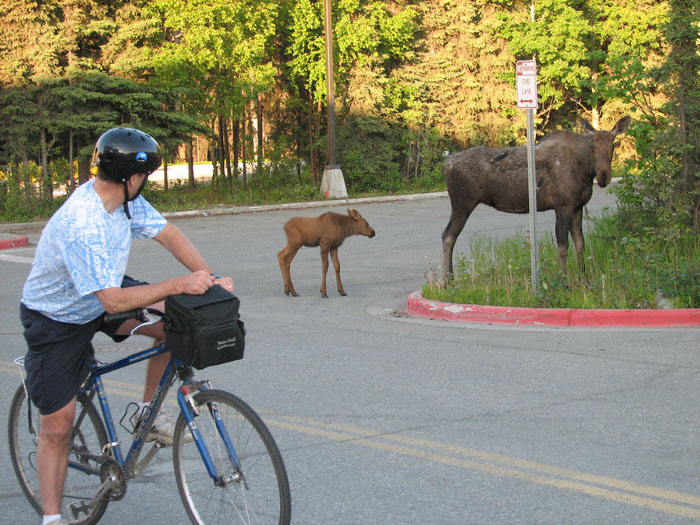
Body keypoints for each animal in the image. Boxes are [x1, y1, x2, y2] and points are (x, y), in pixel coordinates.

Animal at [442, 114, 628, 278]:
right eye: (592, 147)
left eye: (613, 146)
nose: (604, 176)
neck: (586, 172)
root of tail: (447, 164)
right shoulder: (563, 207)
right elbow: (563, 247)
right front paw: (565, 282)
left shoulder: (577, 207)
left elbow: (580, 244)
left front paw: (585, 281)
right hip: (462, 205)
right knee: (448, 236)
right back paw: (448, 281)